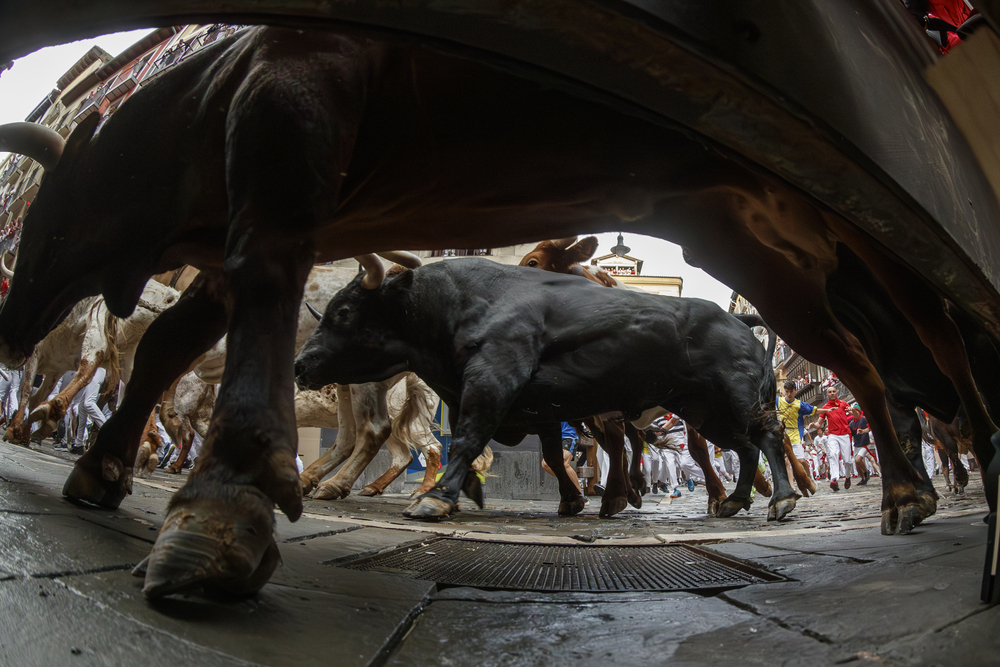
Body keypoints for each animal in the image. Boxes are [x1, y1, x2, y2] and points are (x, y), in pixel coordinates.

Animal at [292, 260, 796, 520]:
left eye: (344, 311)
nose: (300, 364)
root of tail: (736, 318)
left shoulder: (494, 378)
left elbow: (468, 439)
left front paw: (435, 499)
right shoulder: (532, 408)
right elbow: (545, 454)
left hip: (735, 400)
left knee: (766, 437)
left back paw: (781, 500)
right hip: (707, 411)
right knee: (745, 447)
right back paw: (733, 501)